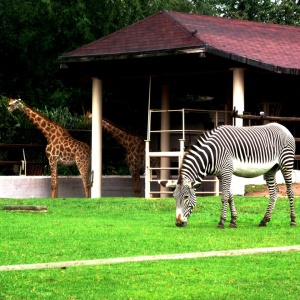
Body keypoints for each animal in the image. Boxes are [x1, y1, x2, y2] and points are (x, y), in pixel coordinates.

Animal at [161, 123, 296, 229]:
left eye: (186, 197)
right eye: (174, 197)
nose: (178, 223)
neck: (211, 154)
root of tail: (284, 127)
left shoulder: (226, 171)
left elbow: (224, 197)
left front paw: (221, 222)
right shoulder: (221, 175)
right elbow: (230, 197)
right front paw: (233, 221)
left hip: (286, 163)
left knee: (290, 191)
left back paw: (293, 220)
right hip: (271, 169)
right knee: (274, 192)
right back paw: (264, 220)